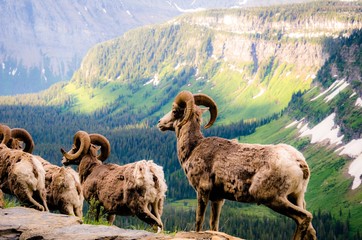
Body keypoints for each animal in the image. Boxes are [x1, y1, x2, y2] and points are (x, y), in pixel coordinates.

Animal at [157, 91, 316, 239]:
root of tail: (299, 163)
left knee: (304, 217)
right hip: (296, 197)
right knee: (311, 230)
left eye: (174, 111)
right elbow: (214, 224)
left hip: (273, 198)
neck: (193, 148)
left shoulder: (202, 191)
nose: (159, 123)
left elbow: (199, 221)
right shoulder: (217, 199)